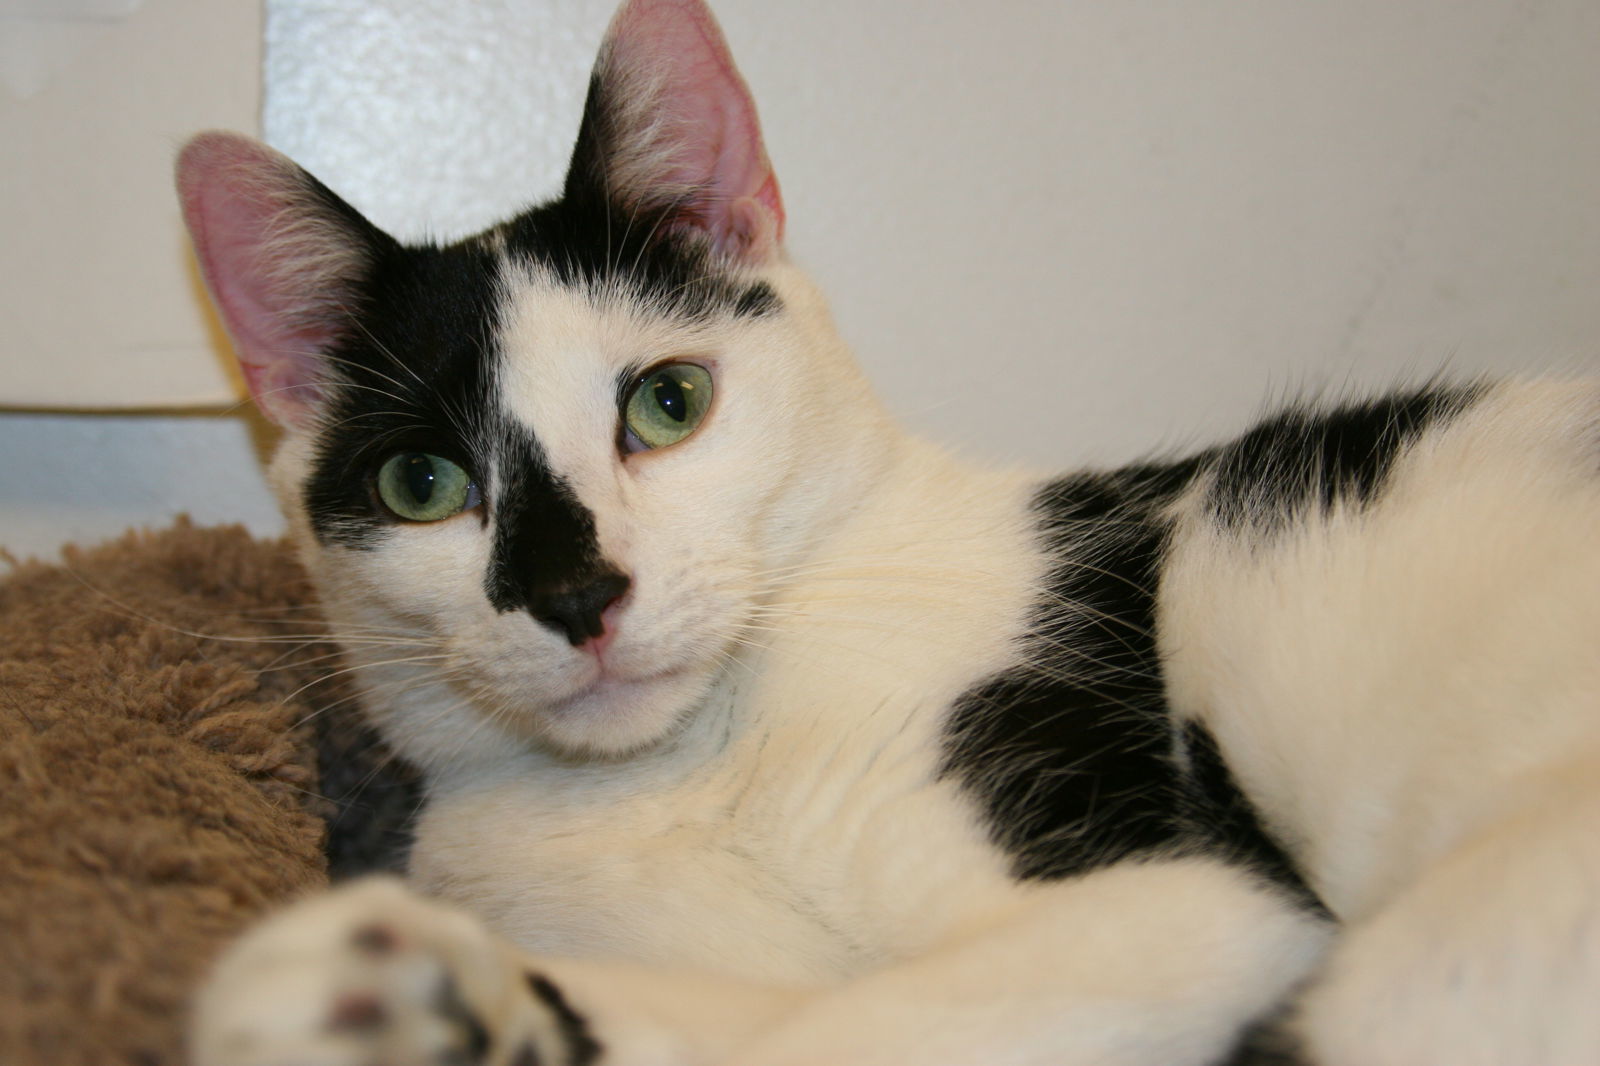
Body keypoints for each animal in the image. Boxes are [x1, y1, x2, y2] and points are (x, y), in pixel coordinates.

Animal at [175, 2, 1600, 1062]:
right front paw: (399, 992)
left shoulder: (1197, 901)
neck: (676, 775)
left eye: (667, 402)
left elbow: (848, 1033)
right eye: (422, 483)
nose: (576, 592)